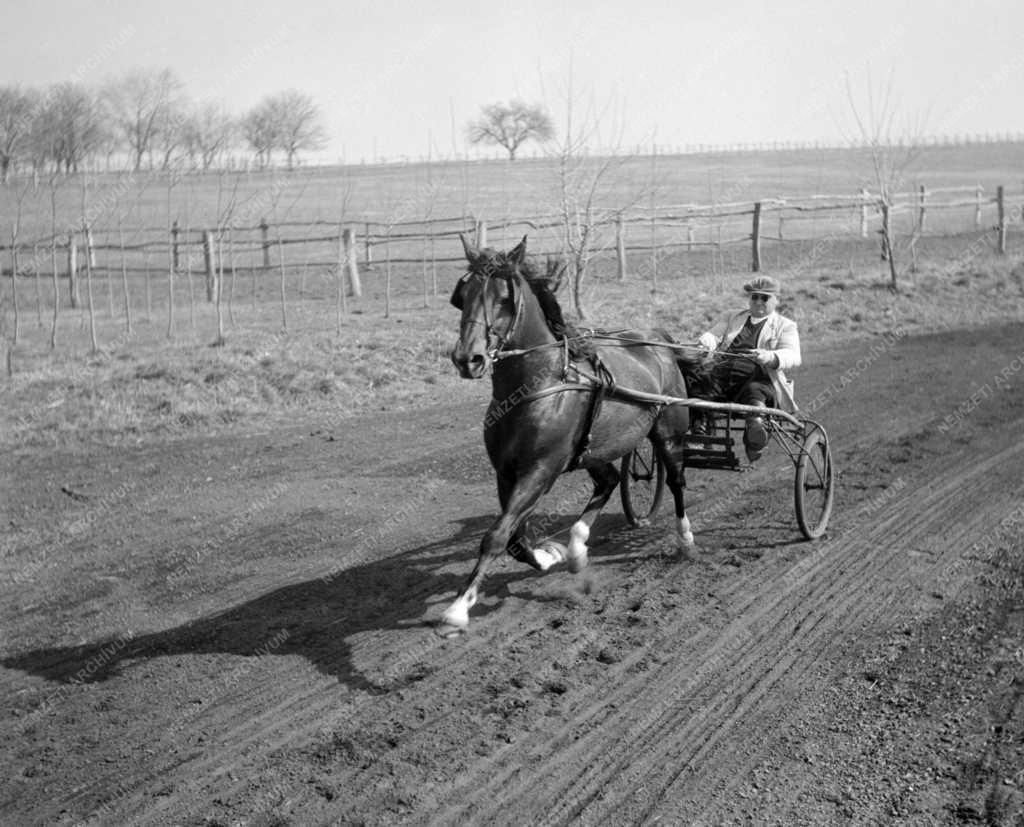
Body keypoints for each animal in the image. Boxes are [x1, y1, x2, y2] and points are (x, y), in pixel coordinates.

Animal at [440, 234, 696, 634]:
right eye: (462, 295)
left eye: (503, 298)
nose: (469, 358)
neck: (535, 386)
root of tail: (654, 337)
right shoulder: (506, 472)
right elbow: (514, 538)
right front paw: (549, 555)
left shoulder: (540, 471)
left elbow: (496, 535)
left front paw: (458, 607)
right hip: (594, 449)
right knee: (608, 481)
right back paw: (576, 548)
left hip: (668, 432)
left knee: (675, 480)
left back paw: (684, 539)